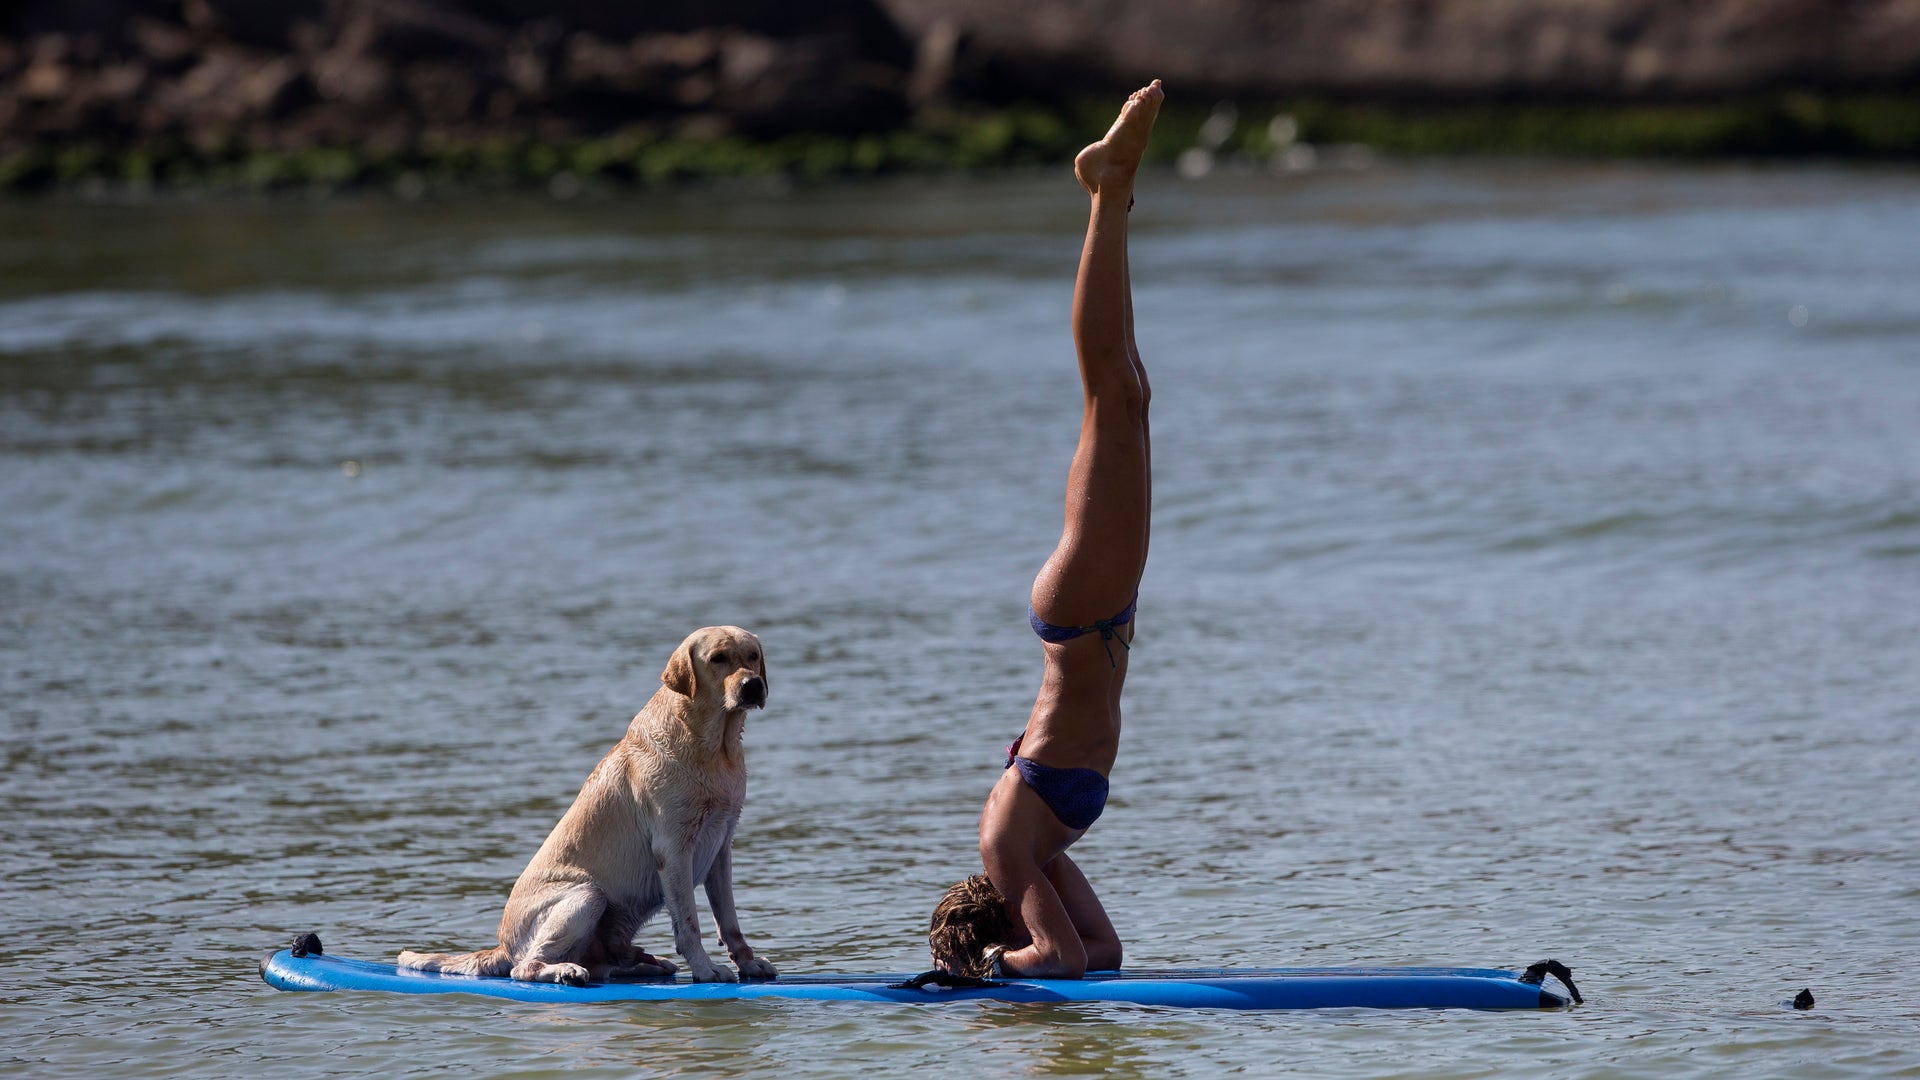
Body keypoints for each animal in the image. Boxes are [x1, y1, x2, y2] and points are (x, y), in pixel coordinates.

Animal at [397, 622, 779, 983]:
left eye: (752, 656)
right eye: (718, 659)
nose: (753, 685)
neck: (714, 748)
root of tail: (501, 947)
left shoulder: (721, 845)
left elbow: (729, 921)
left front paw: (748, 962)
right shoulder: (673, 849)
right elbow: (689, 923)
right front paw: (705, 968)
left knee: (600, 965)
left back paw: (640, 965)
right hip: (587, 895)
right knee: (525, 967)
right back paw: (565, 971)